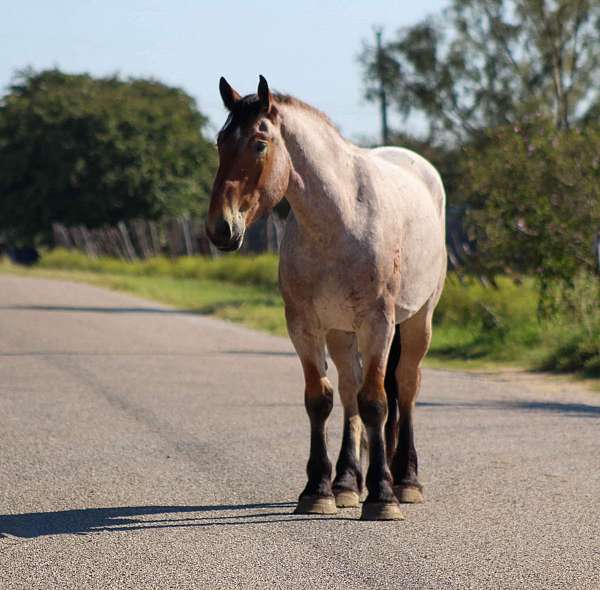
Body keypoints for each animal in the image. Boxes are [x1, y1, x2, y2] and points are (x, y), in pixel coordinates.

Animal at [206, 75, 446, 524]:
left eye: (259, 144)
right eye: (220, 142)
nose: (220, 228)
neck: (342, 219)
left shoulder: (378, 323)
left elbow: (376, 403)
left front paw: (382, 496)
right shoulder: (304, 325)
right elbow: (321, 400)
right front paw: (318, 489)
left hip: (417, 320)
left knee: (405, 387)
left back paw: (406, 481)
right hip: (341, 331)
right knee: (350, 390)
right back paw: (348, 482)